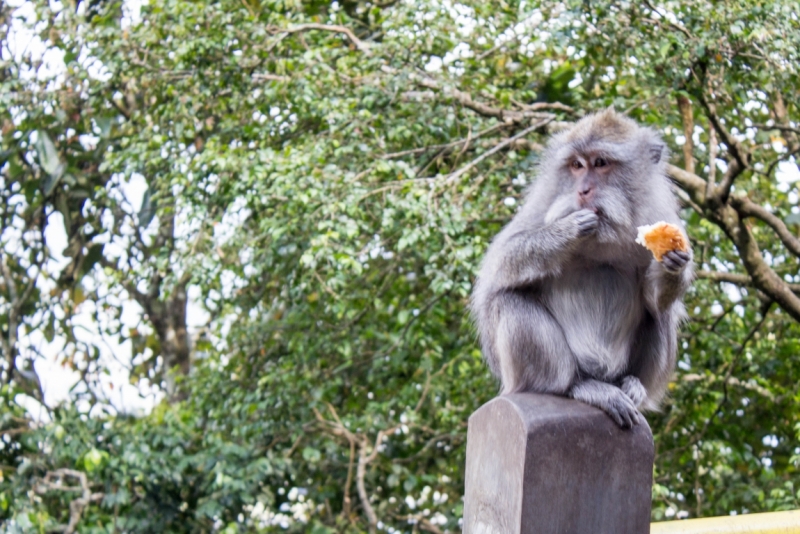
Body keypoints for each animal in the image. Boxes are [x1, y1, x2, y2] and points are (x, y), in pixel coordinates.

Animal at [472, 110, 692, 432]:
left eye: (600, 163)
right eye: (576, 165)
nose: (582, 190)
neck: (603, 235)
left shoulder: (657, 213)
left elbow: (654, 298)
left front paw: (673, 263)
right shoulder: (543, 203)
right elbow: (500, 265)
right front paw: (566, 230)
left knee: (660, 314)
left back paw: (634, 386)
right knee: (509, 301)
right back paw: (574, 387)